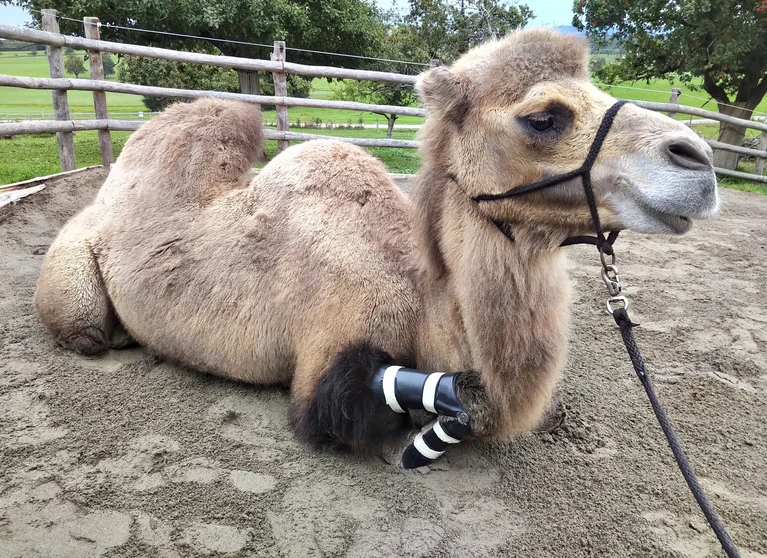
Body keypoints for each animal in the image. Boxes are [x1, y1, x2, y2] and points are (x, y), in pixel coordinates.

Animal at [35, 28, 719, 467]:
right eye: (544, 116)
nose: (700, 160)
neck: (428, 304)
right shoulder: (332, 345)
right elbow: (360, 413)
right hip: (70, 270)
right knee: (84, 328)